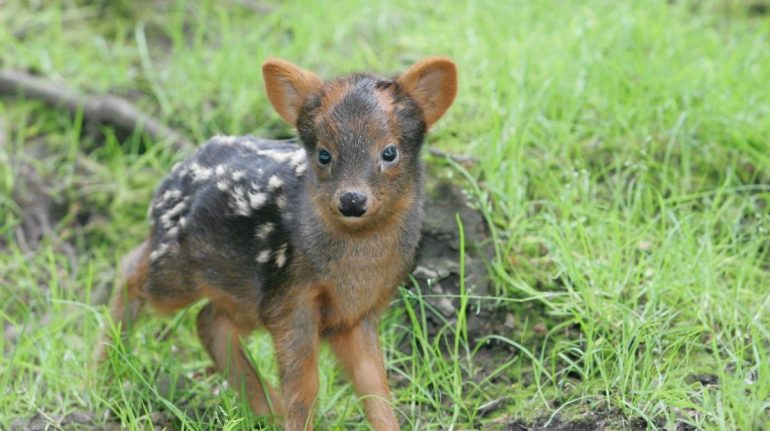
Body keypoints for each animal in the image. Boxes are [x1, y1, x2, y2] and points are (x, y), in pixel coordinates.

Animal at [96, 56, 456, 428]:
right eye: (324, 155)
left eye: (389, 152)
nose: (352, 200)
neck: (356, 271)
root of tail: (172, 175)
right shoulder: (290, 298)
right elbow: (305, 388)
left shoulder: (360, 313)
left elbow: (374, 386)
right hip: (174, 271)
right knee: (131, 268)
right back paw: (103, 375)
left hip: (241, 292)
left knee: (208, 320)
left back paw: (267, 409)